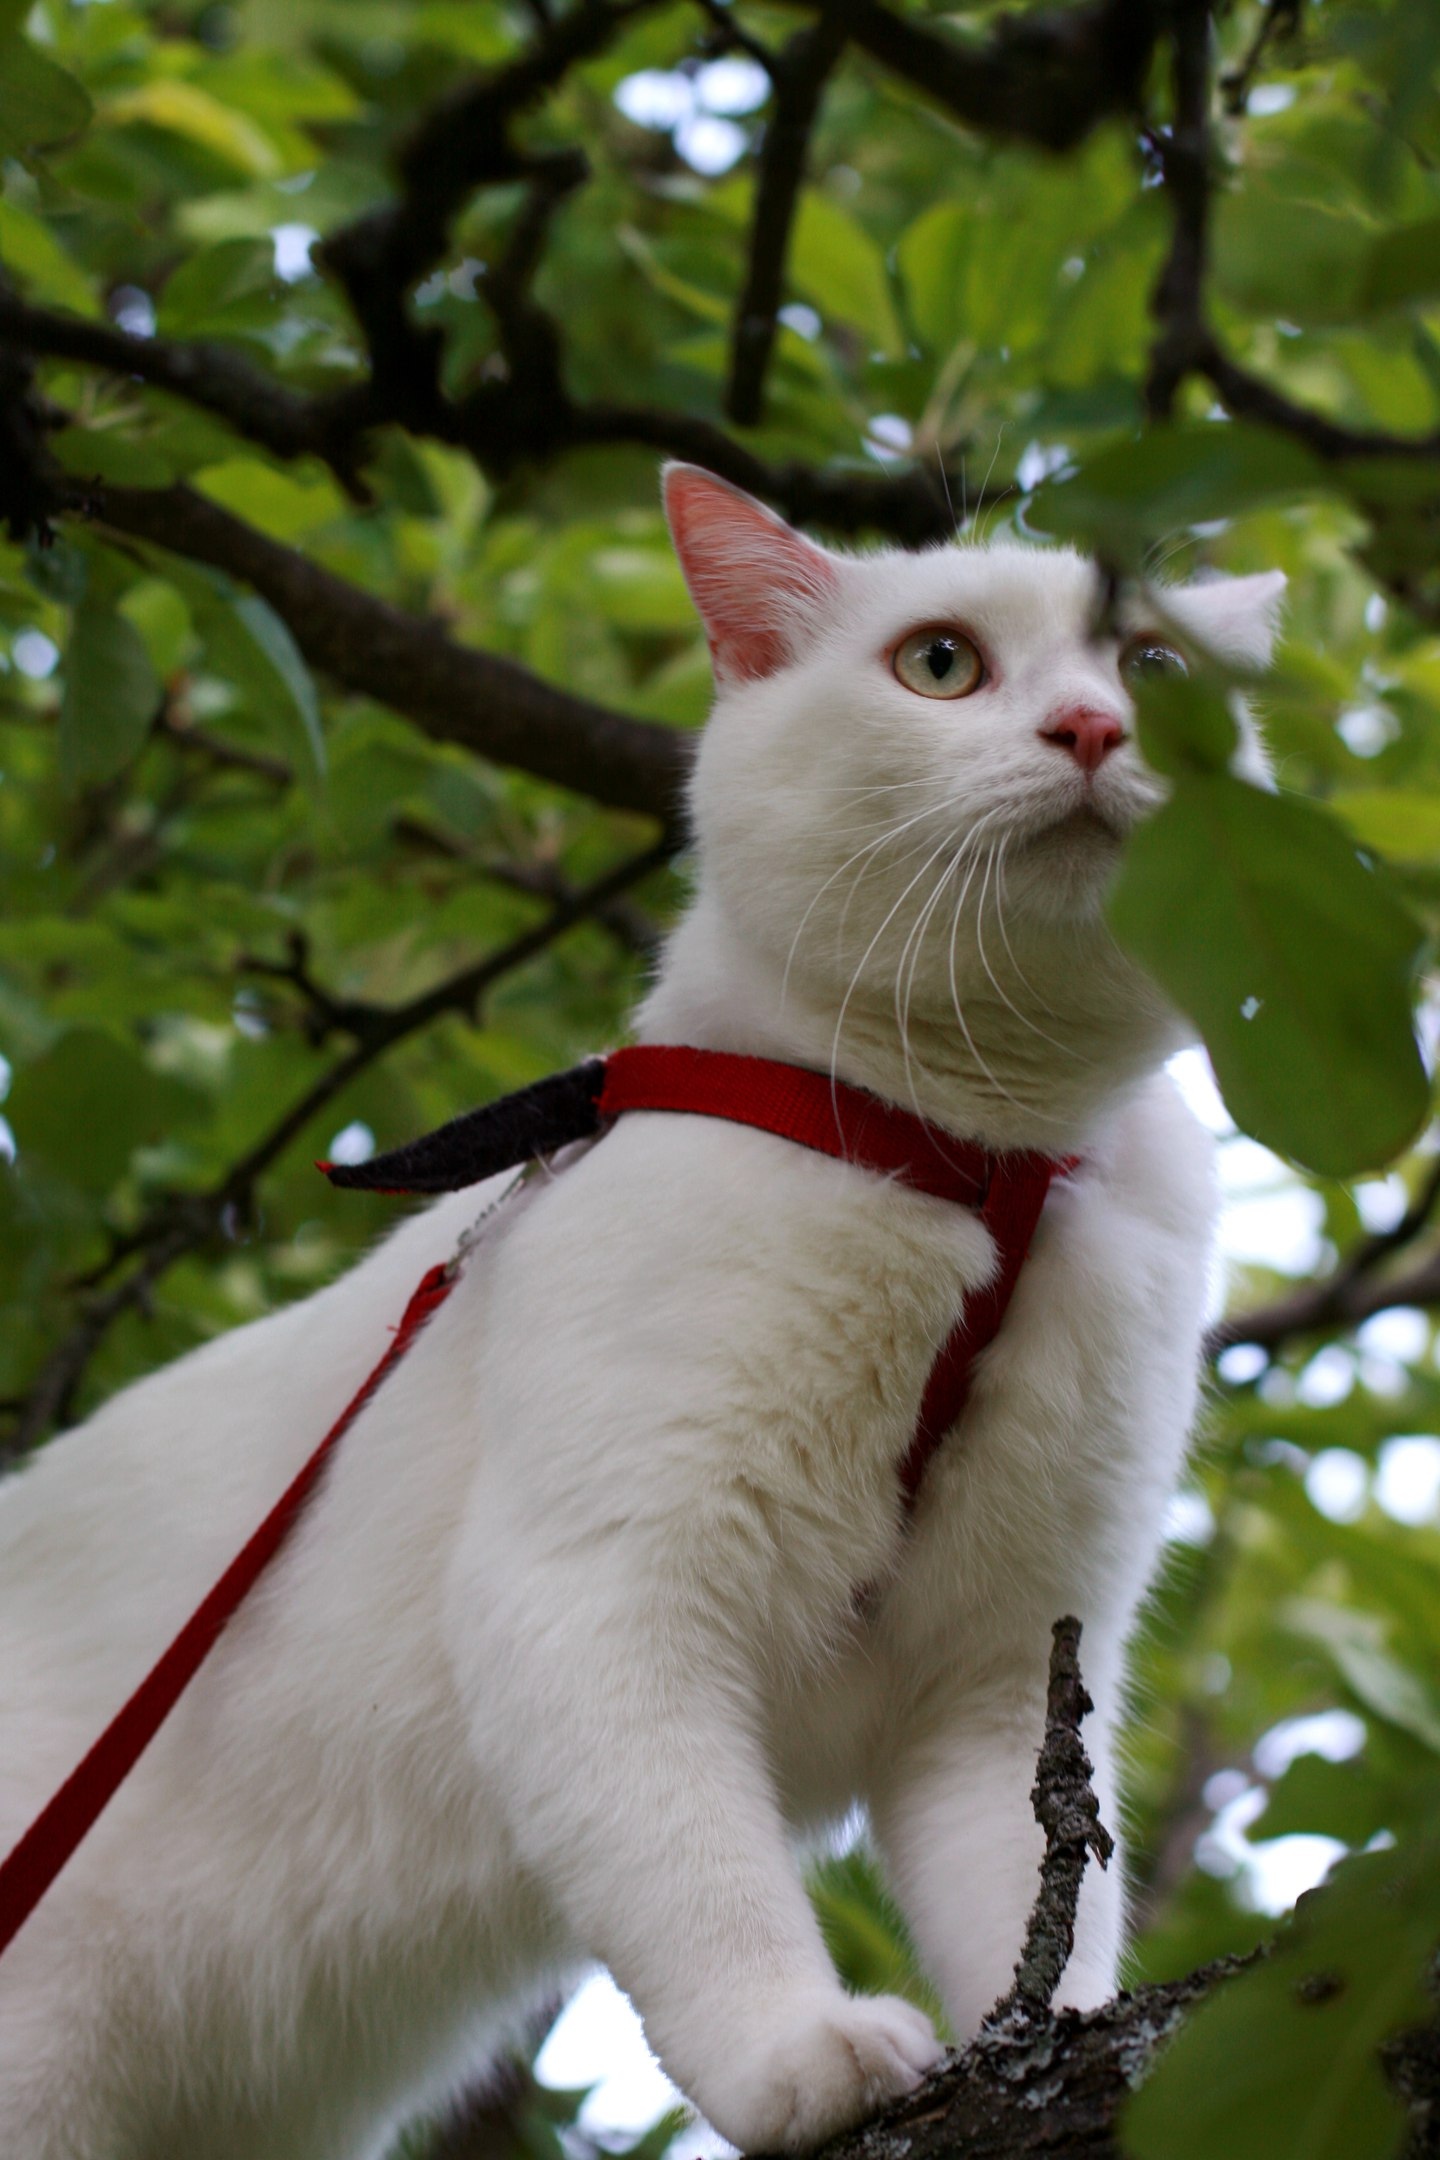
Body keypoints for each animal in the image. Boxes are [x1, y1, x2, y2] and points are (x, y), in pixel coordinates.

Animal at [0, 462, 1283, 2160]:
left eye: (1154, 668)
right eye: (941, 664)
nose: (1093, 727)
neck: (972, 1162)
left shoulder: (1008, 1668)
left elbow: (1027, 1908)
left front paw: (1060, 2036)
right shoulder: (600, 1593)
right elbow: (703, 1884)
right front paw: (801, 2055)